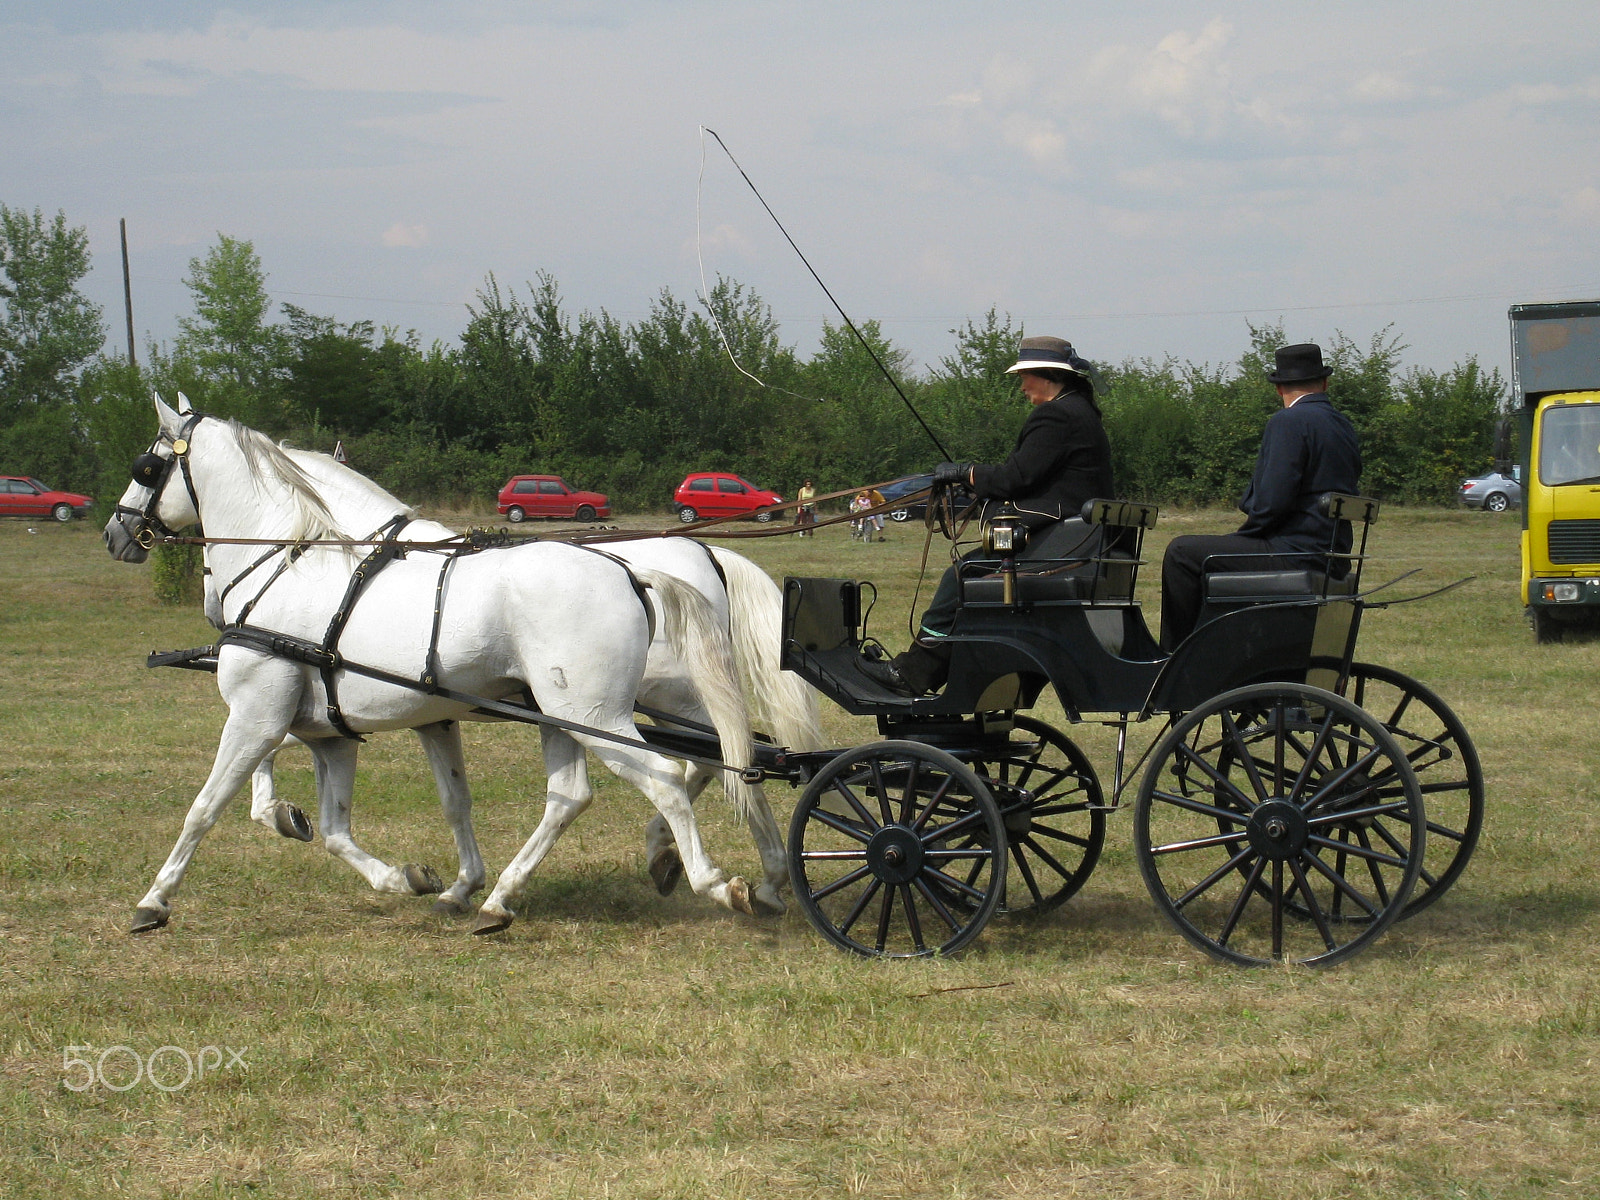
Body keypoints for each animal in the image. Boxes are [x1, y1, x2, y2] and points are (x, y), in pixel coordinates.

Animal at [106, 400, 768, 934]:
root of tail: (635, 572)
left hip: (598, 715)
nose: (118, 532)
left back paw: (714, 881)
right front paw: (418, 879)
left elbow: (206, 805)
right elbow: (353, 825)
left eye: (146, 467)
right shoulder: (340, 733)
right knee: (695, 769)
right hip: (586, 714)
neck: (292, 564)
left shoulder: (257, 715)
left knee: (669, 778)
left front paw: (154, 901)